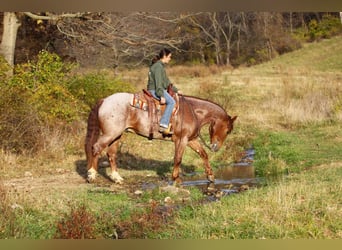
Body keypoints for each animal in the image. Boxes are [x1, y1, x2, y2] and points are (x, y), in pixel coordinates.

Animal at [84, 92, 236, 184]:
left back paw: (117, 178)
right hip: (110, 134)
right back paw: (92, 175)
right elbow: (178, 158)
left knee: (111, 153)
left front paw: (210, 176)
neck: (192, 111)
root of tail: (104, 100)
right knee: (96, 148)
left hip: (117, 135)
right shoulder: (181, 140)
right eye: (228, 130)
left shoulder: (190, 140)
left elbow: (203, 154)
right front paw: (176, 179)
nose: (215, 147)